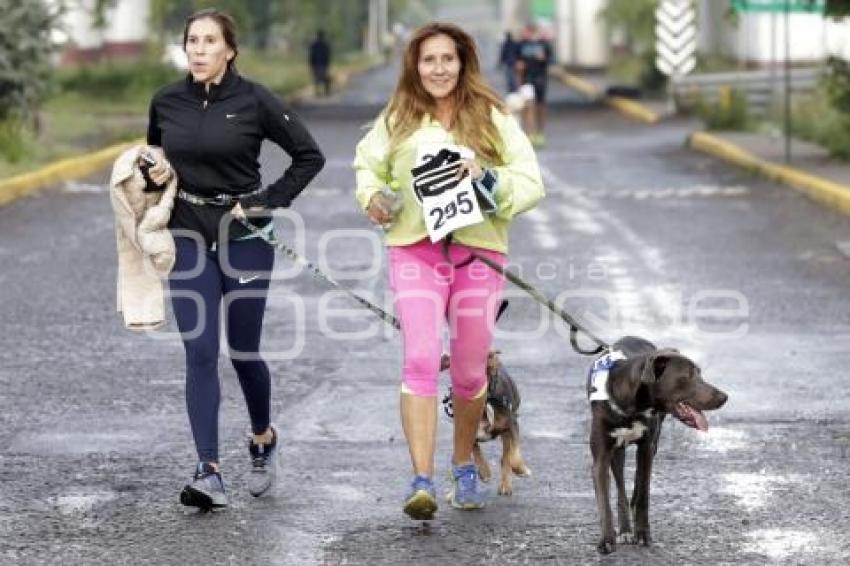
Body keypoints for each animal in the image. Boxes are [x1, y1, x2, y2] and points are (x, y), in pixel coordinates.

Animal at [440, 350, 528, 496]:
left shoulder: (512, 425)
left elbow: (513, 455)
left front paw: (521, 470)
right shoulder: (465, 432)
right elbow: (476, 452)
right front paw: (484, 471)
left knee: (506, 456)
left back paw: (506, 485)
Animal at [588, 338, 724, 556]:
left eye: (700, 373)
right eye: (688, 376)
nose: (724, 397)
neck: (631, 406)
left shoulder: (647, 448)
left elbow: (643, 494)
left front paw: (643, 534)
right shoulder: (601, 457)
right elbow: (604, 501)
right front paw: (606, 540)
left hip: (654, 442)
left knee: (637, 486)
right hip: (618, 452)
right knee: (621, 489)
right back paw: (625, 529)